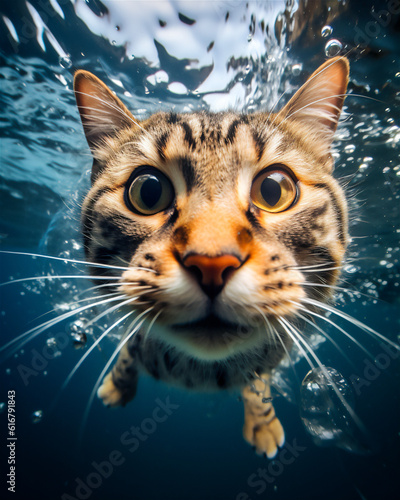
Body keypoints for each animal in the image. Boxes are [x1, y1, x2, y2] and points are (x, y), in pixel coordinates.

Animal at [73, 56, 348, 458]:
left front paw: (262, 423)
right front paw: (117, 385)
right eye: (148, 191)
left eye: (274, 190)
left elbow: (258, 383)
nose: (212, 264)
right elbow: (128, 351)